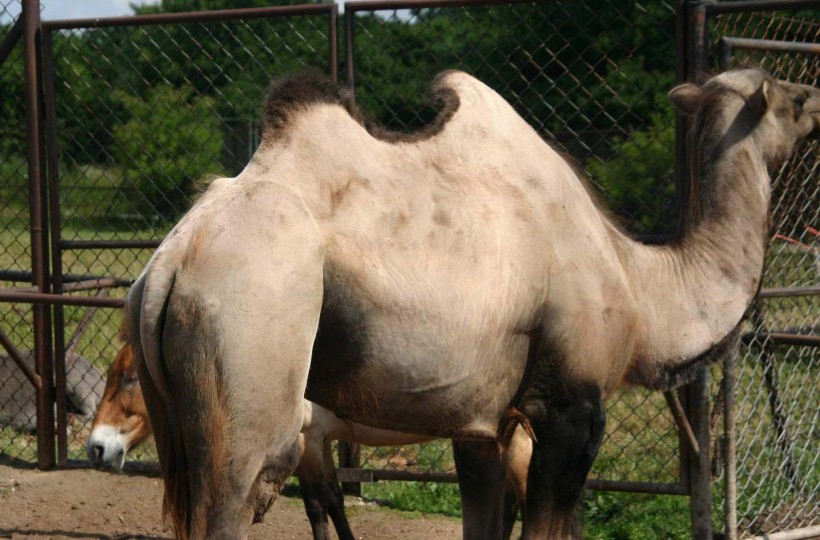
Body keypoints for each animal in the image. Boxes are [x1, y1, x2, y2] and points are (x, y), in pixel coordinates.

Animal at [86, 336, 528, 536]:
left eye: (129, 378)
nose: (96, 447)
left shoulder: (310, 442)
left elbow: (323, 503)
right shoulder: (316, 445)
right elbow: (326, 504)